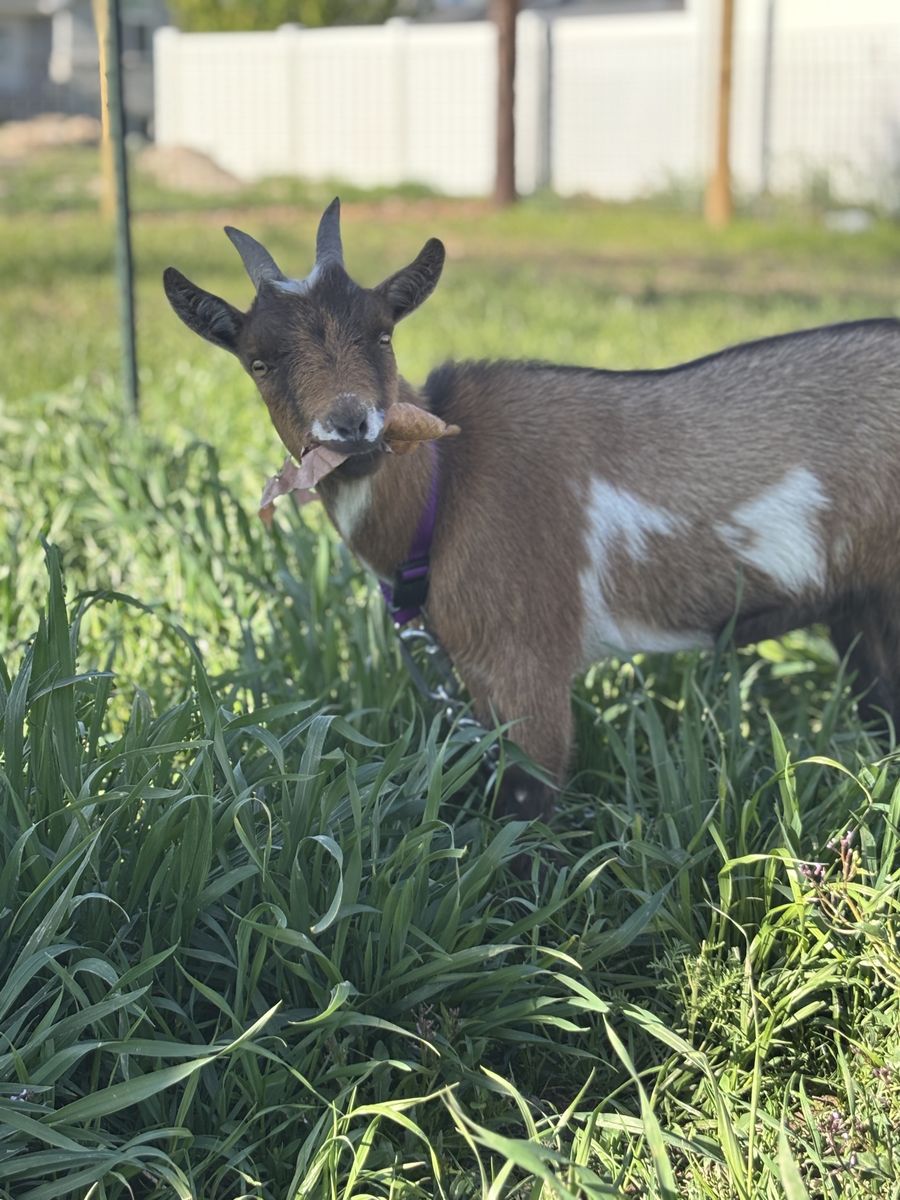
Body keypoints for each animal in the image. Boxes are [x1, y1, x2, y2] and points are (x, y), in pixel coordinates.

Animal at [164, 199, 900, 819]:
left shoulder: (525, 662)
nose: (350, 426)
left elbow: (524, 816)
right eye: (259, 361)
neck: (448, 488)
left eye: (383, 333)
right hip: (859, 604)